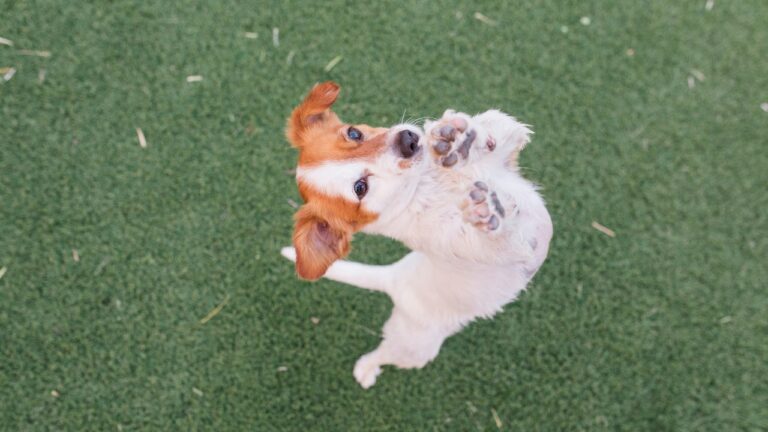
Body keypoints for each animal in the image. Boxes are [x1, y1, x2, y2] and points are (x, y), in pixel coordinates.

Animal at [282, 81, 552, 388]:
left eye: (354, 132)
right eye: (360, 188)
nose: (408, 139)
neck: (427, 182)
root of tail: (393, 277)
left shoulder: (507, 155)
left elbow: (498, 124)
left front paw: (459, 138)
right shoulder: (488, 247)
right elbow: (500, 236)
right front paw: (489, 211)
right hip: (412, 348)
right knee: (383, 353)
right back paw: (366, 369)